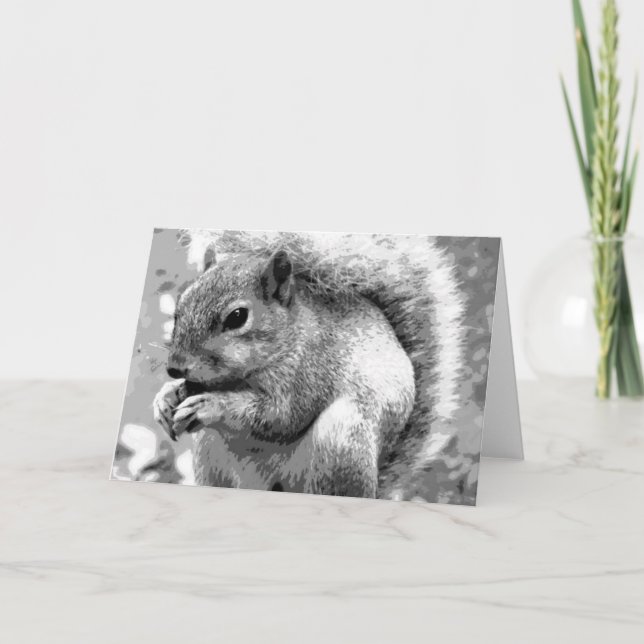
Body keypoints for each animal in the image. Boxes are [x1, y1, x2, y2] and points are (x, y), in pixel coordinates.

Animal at [153, 230, 466, 501]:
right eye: (180, 306)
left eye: (237, 316)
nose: (175, 367)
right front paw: (165, 398)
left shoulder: (311, 372)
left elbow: (280, 416)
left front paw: (211, 405)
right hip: (210, 452)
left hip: (340, 442)